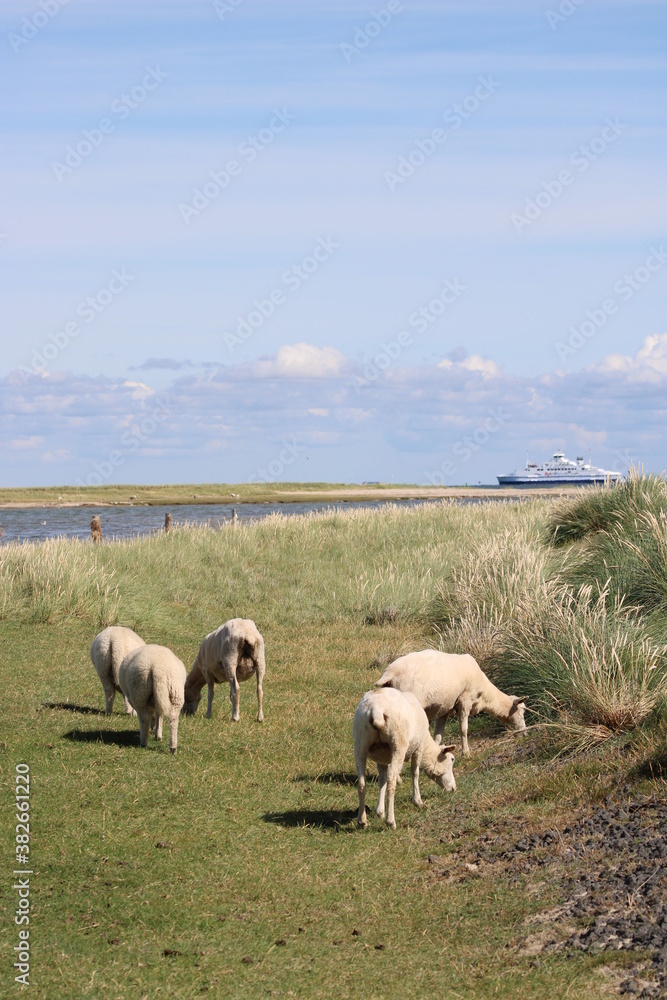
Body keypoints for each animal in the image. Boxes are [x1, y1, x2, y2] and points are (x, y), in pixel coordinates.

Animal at [352, 688, 456, 828]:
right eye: (451, 759)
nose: (454, 788)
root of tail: (376, 709)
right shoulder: (419, 747)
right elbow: (415, 772)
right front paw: (418, 801)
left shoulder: (381, 758)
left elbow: (382, 781)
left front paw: (380, 812)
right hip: (398, 744)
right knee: (391, 781)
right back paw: (391, 821)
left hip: (360, 743)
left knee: (362, 783)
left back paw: (362, 821)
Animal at [376, 652, 528, 752]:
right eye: (521, 711)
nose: (526, 734)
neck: (484, 695)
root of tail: (390, 672)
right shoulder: (465, 701)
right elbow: (464, 729)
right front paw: (466, 752)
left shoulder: (444, 709)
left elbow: (438, 736)